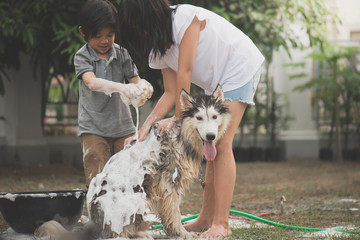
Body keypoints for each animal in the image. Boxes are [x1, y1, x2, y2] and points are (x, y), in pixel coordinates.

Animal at [37, 85, 231, 239]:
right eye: (199, 118)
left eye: (214, 117)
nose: (211, 136)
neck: (181, 136)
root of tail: (95, 224)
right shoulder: (168, 185)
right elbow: (175, 214)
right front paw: (181, 233)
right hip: (134, 197)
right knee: (114, 234)